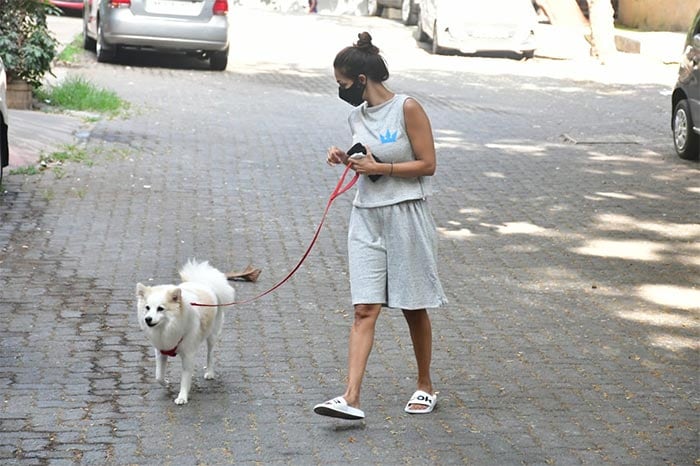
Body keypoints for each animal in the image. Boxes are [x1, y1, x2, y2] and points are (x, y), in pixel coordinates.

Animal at [136, 258, 235, 404]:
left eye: (160, 309)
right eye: (147, 308)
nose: (148, 319)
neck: (167, 328)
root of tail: (204, 283)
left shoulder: (188, 355)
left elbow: (185, 378)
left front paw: (182, 397)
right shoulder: (161, 351)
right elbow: (158, 376)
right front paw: (166, 382)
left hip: (212, 335)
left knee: (210, 354)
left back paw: (210, 372)